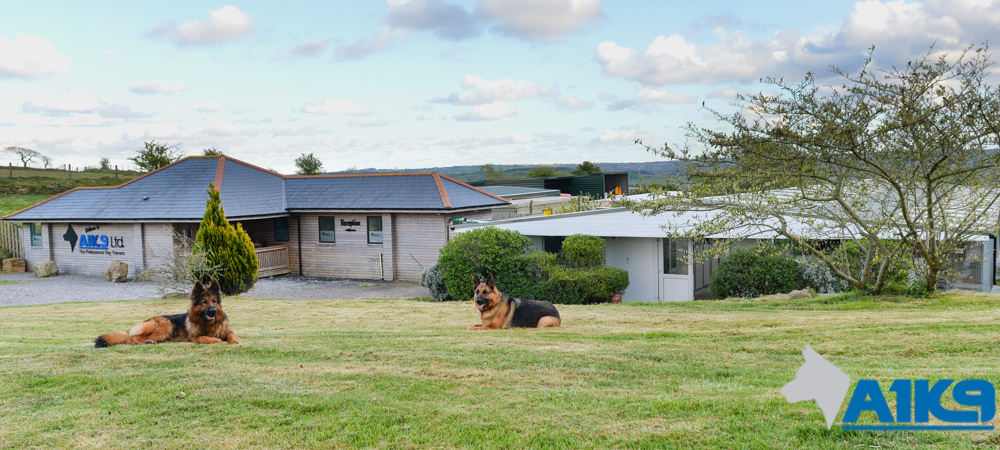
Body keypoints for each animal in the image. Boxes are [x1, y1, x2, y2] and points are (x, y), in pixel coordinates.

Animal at [94, 278, 242, 348]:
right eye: (204, 302)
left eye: (214, 301)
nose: (213, 311)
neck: (208, 324)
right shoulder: (193, 337)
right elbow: (203, 338)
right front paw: (216, 340)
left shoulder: (226, 329)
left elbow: (231, 333)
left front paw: (235, 340)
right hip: (165, 325)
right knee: (130, 338)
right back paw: (140, 342)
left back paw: (148, 342)